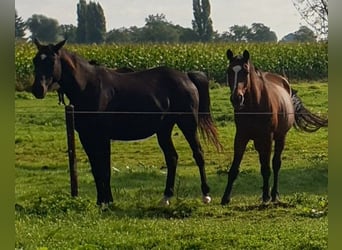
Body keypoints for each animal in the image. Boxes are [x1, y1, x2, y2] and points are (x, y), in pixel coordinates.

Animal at [30, 39, 222, 207]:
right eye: (35, 60)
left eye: (52, 61)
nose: (38, 89)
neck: (88, 87)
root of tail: (187, 76)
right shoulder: (87, 137)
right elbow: (96, 169)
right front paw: (101, 201)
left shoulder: (102, 137)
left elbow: (105, 170)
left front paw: (107, 201)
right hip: (164, 129)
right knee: (172, 158)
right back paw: (166, 197)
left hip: (188, 124)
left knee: (198, 154)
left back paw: (206, 195)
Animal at [220, 48, 328, 205]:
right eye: (229, 71)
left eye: (245, 71)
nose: (236, 98)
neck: (254, 106)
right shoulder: (241, 136)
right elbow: (234, 168)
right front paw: (225, 197)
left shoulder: (267, 137)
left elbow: (267, 168)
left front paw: (266, 196)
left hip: (279, 137)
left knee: (276, 164)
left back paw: (274, 194)